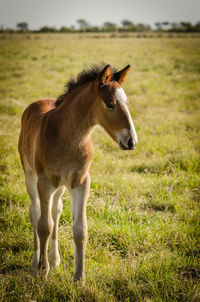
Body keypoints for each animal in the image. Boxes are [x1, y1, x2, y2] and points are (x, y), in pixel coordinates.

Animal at [18, 64, 138, 284]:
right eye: (109, 104)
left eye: (127, 102)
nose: (132, 141)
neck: (67, 137)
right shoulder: (44, 183)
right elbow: (44, 226)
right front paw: (42, 270)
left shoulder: (81, 182)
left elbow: (80, 229)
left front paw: (79, 278)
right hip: (30, 176)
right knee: (35, 211)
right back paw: (35, 264)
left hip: (60, 185)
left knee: (56, 209)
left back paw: (55, 260)